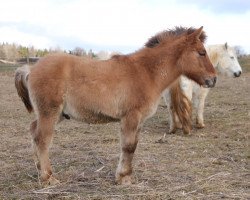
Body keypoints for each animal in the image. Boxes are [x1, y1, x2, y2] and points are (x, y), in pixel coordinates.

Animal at [14, 27, 216, 186]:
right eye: (201, 52)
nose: (213, 79)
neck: (146, 71)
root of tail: (31, 69)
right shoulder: (131, 117)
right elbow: (128, 146)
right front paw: (124, 178)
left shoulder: (139, 121)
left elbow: (133, 146)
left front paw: (126, 175)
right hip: (49, 112)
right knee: (42, 139)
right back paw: (48, 177)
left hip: (56, 115)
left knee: (34, 132)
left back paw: (38, 170)